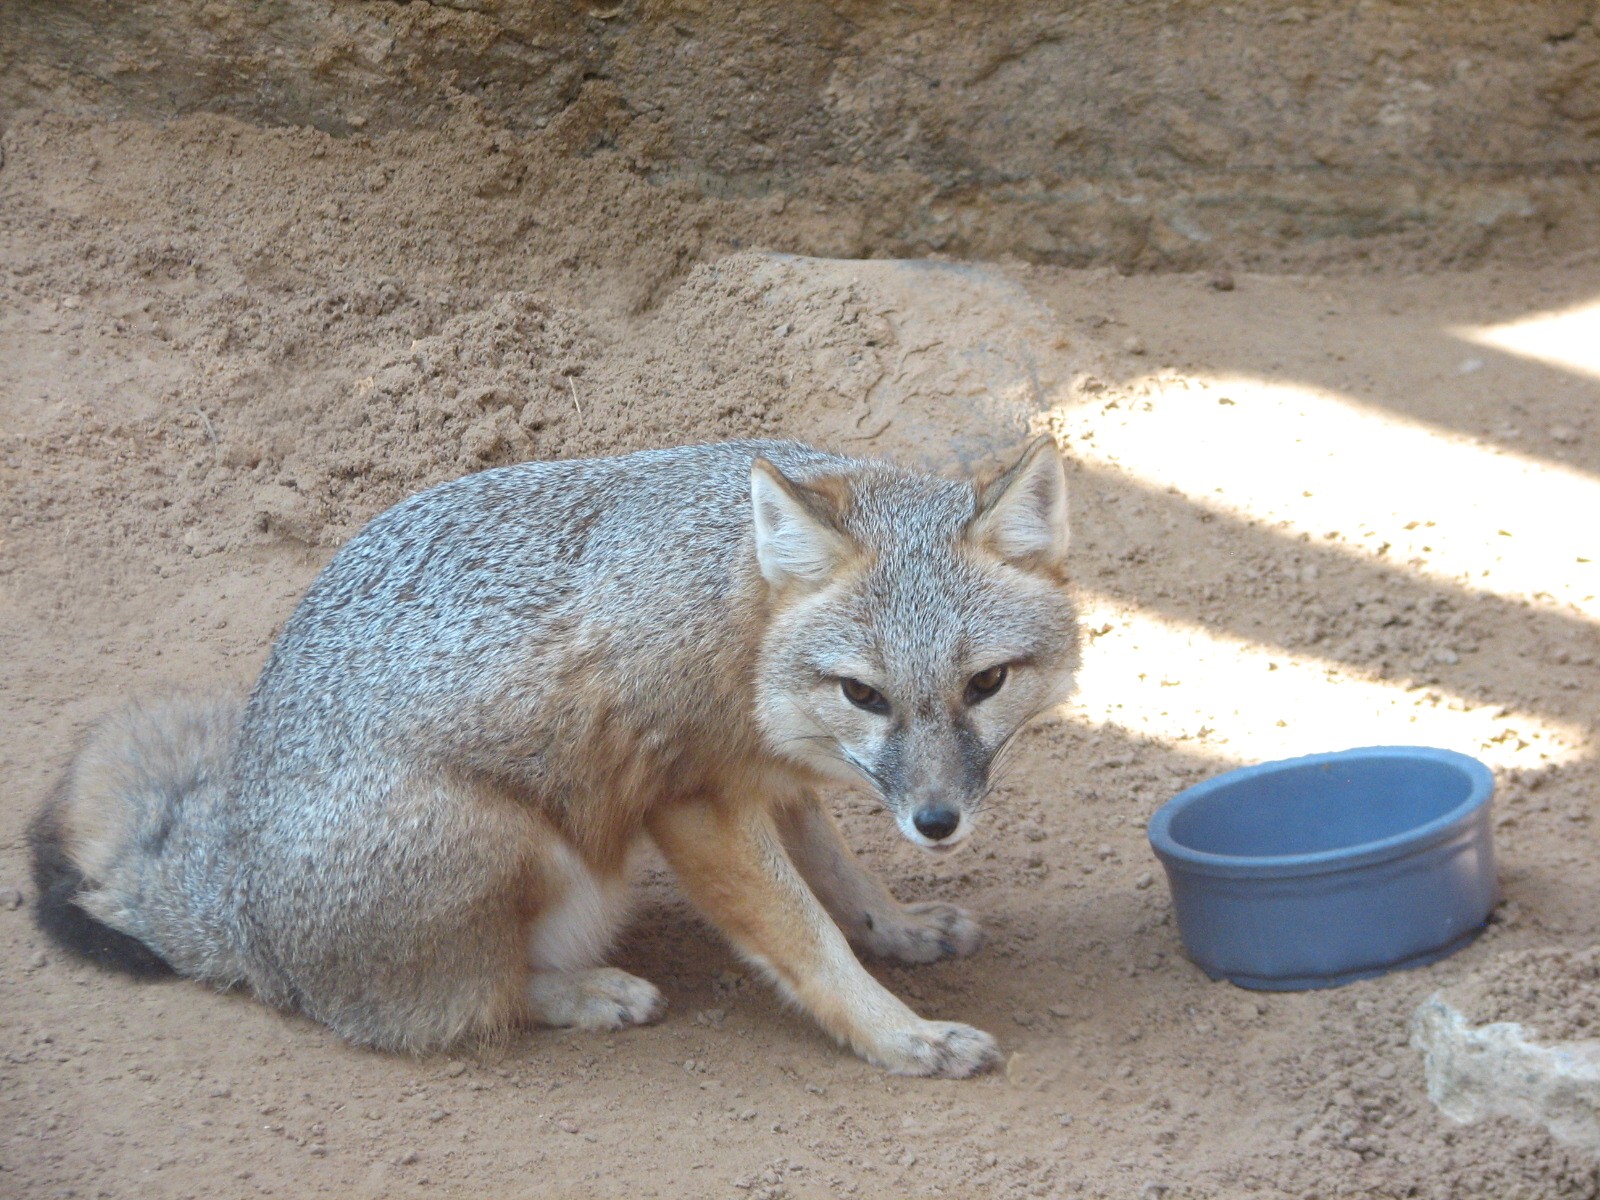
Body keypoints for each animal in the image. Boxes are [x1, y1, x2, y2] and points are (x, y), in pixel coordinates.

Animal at [29, 436, 1080, 1077]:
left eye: (986, 683)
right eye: (867, 694)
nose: (937, 822)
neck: (739, 609)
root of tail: (249, 915)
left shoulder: (774, 779)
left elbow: (842, 878)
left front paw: (898, 929)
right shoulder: (694, 800)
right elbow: (803, 936)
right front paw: (901, 1035)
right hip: (516, 840)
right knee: (462, 1006)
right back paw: (583, 992)